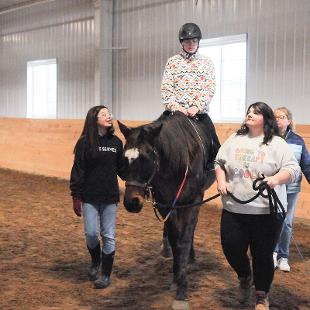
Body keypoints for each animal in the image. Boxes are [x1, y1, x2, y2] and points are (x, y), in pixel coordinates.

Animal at [118, 112, 216, 310]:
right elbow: (175, 239)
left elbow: (184, 240)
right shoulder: (165, 205)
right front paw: (175, 278)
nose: (132, 202)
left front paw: (181, 293)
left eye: (146, 158)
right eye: (124, 158)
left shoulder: (193, 202)